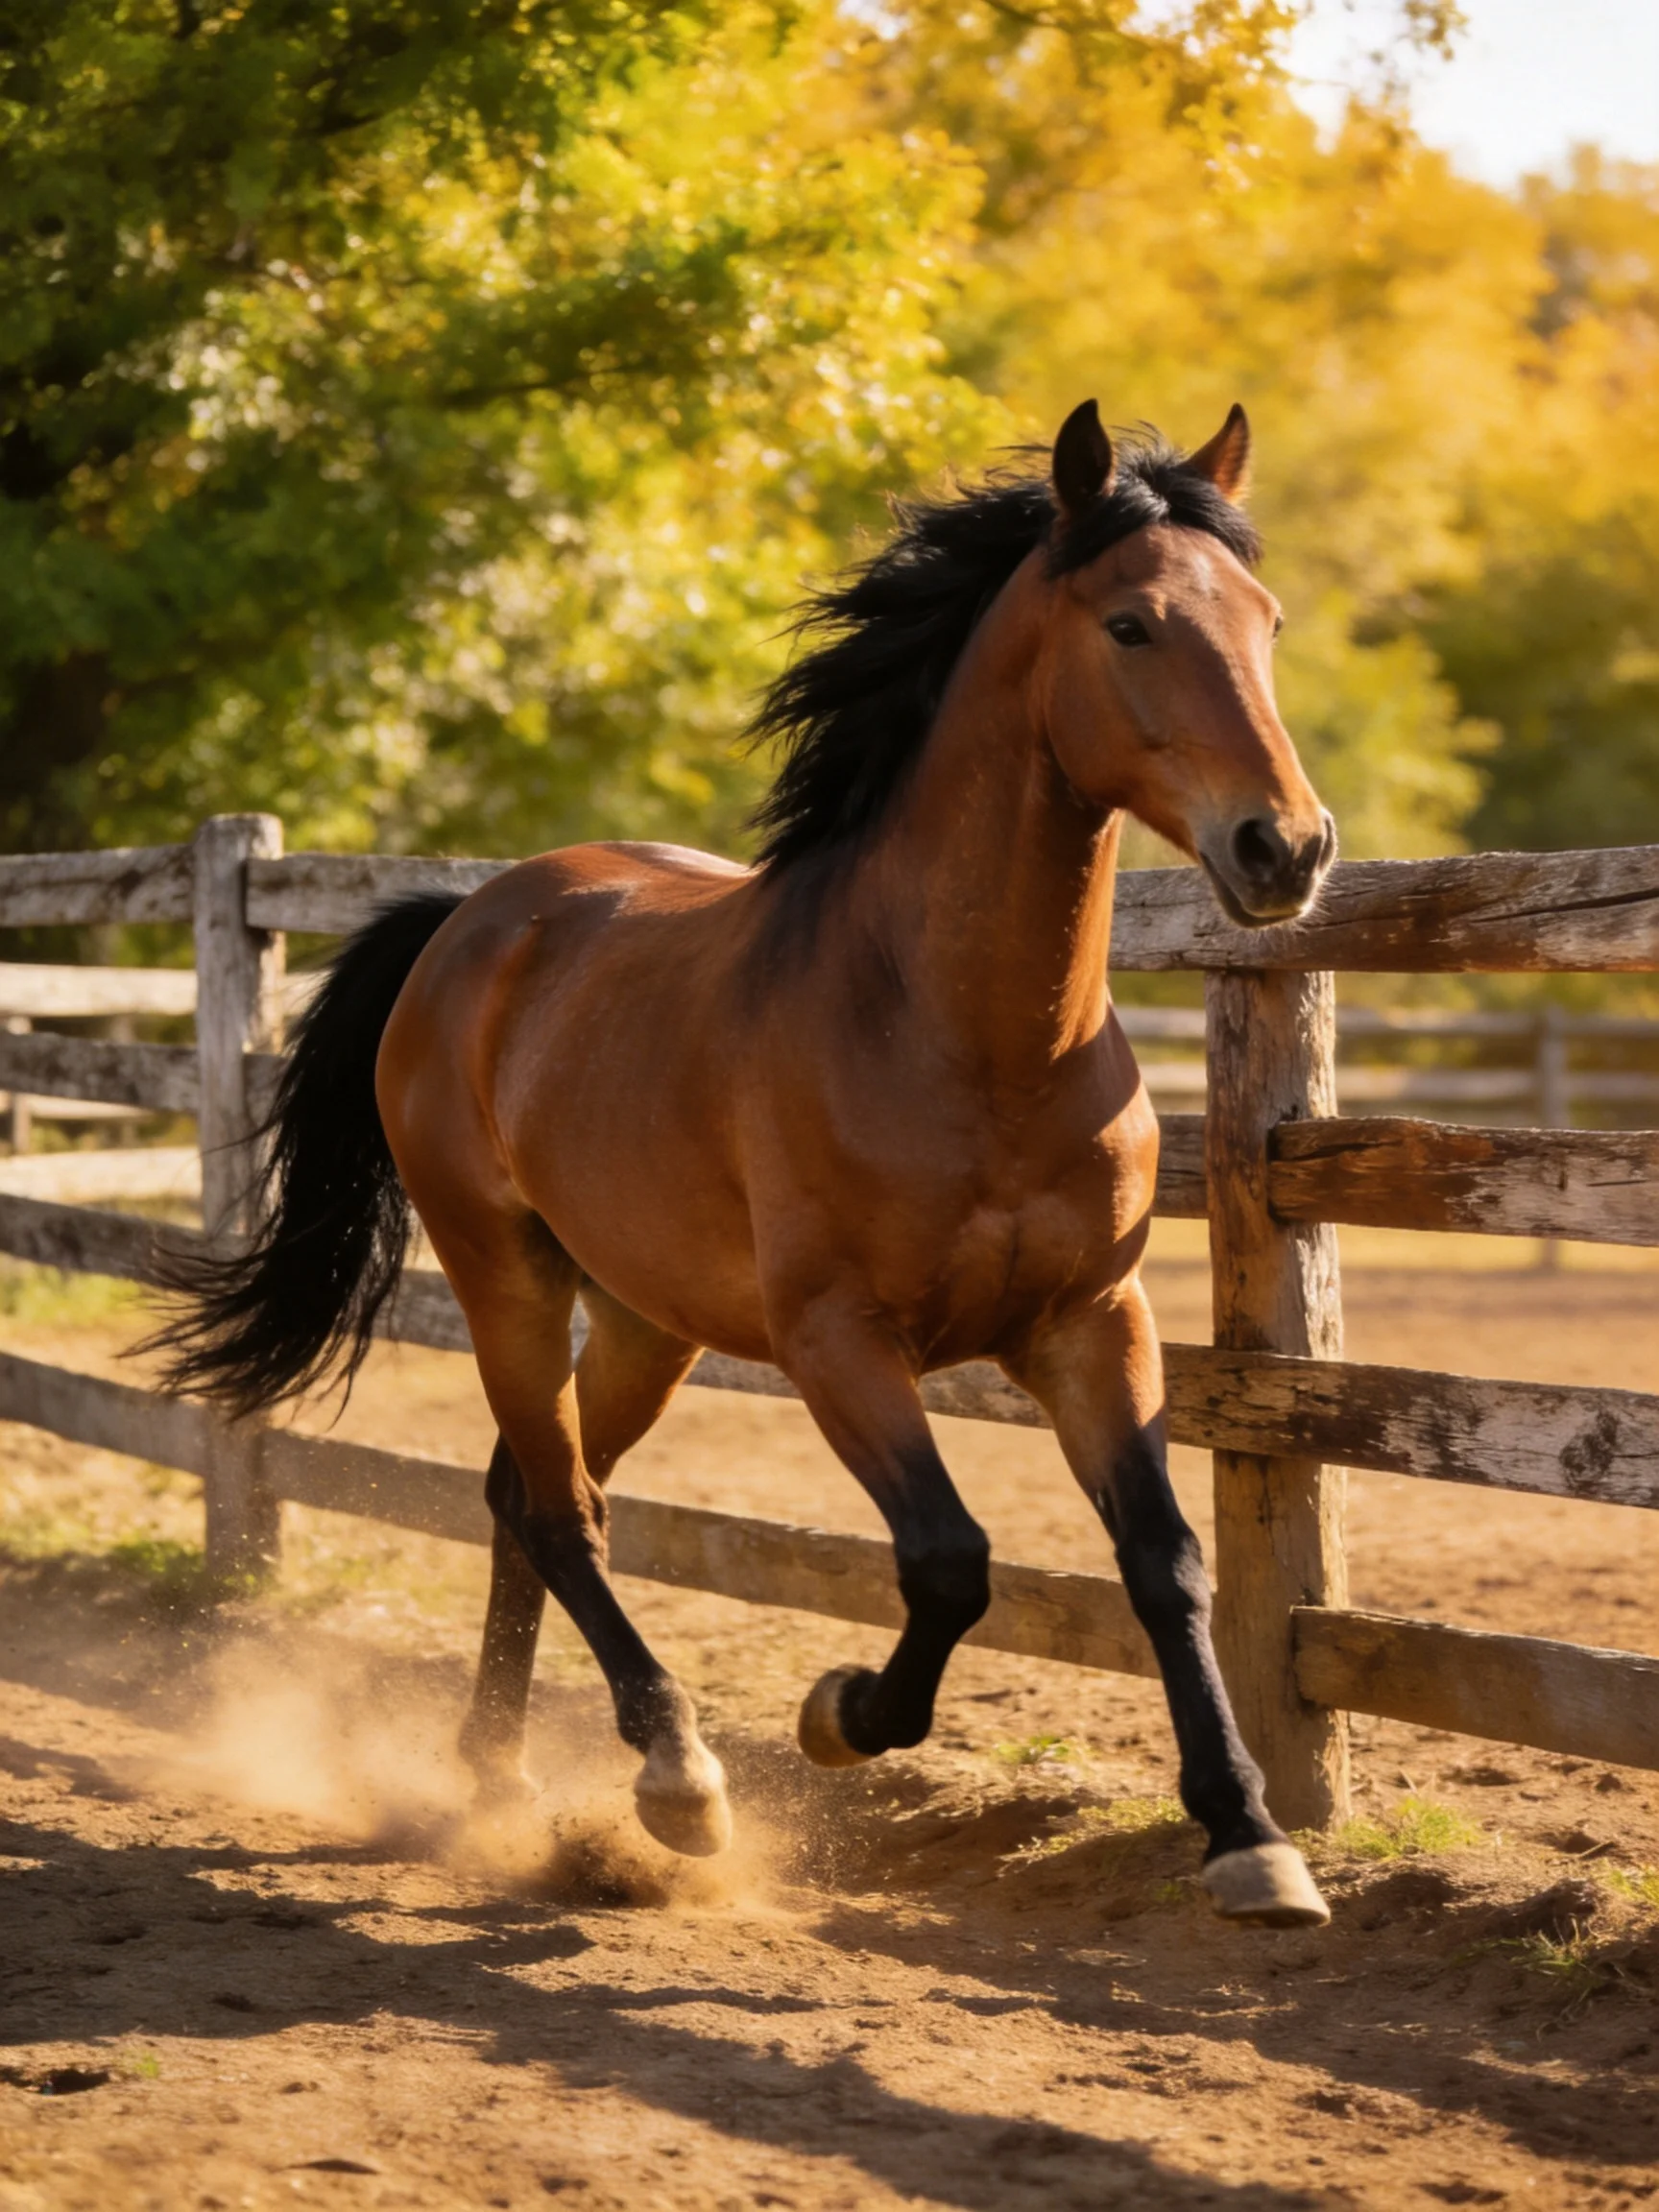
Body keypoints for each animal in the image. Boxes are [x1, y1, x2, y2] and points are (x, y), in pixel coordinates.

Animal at [151, 400, 1338, 1928]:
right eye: (1132, 624)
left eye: (1266, 620)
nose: (1286, 847)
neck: (963, 1035)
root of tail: (471, 921)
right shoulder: (838, 1341)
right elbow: (949, 1562)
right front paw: (838, 1716)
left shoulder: (1094, 1324)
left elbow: (1167, 1563)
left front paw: (1251, 1840)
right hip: (503, 1277)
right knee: (563, 1511)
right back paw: (677, 1780)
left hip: (645, 1321)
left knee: (526, 1497)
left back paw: (499, 1778)